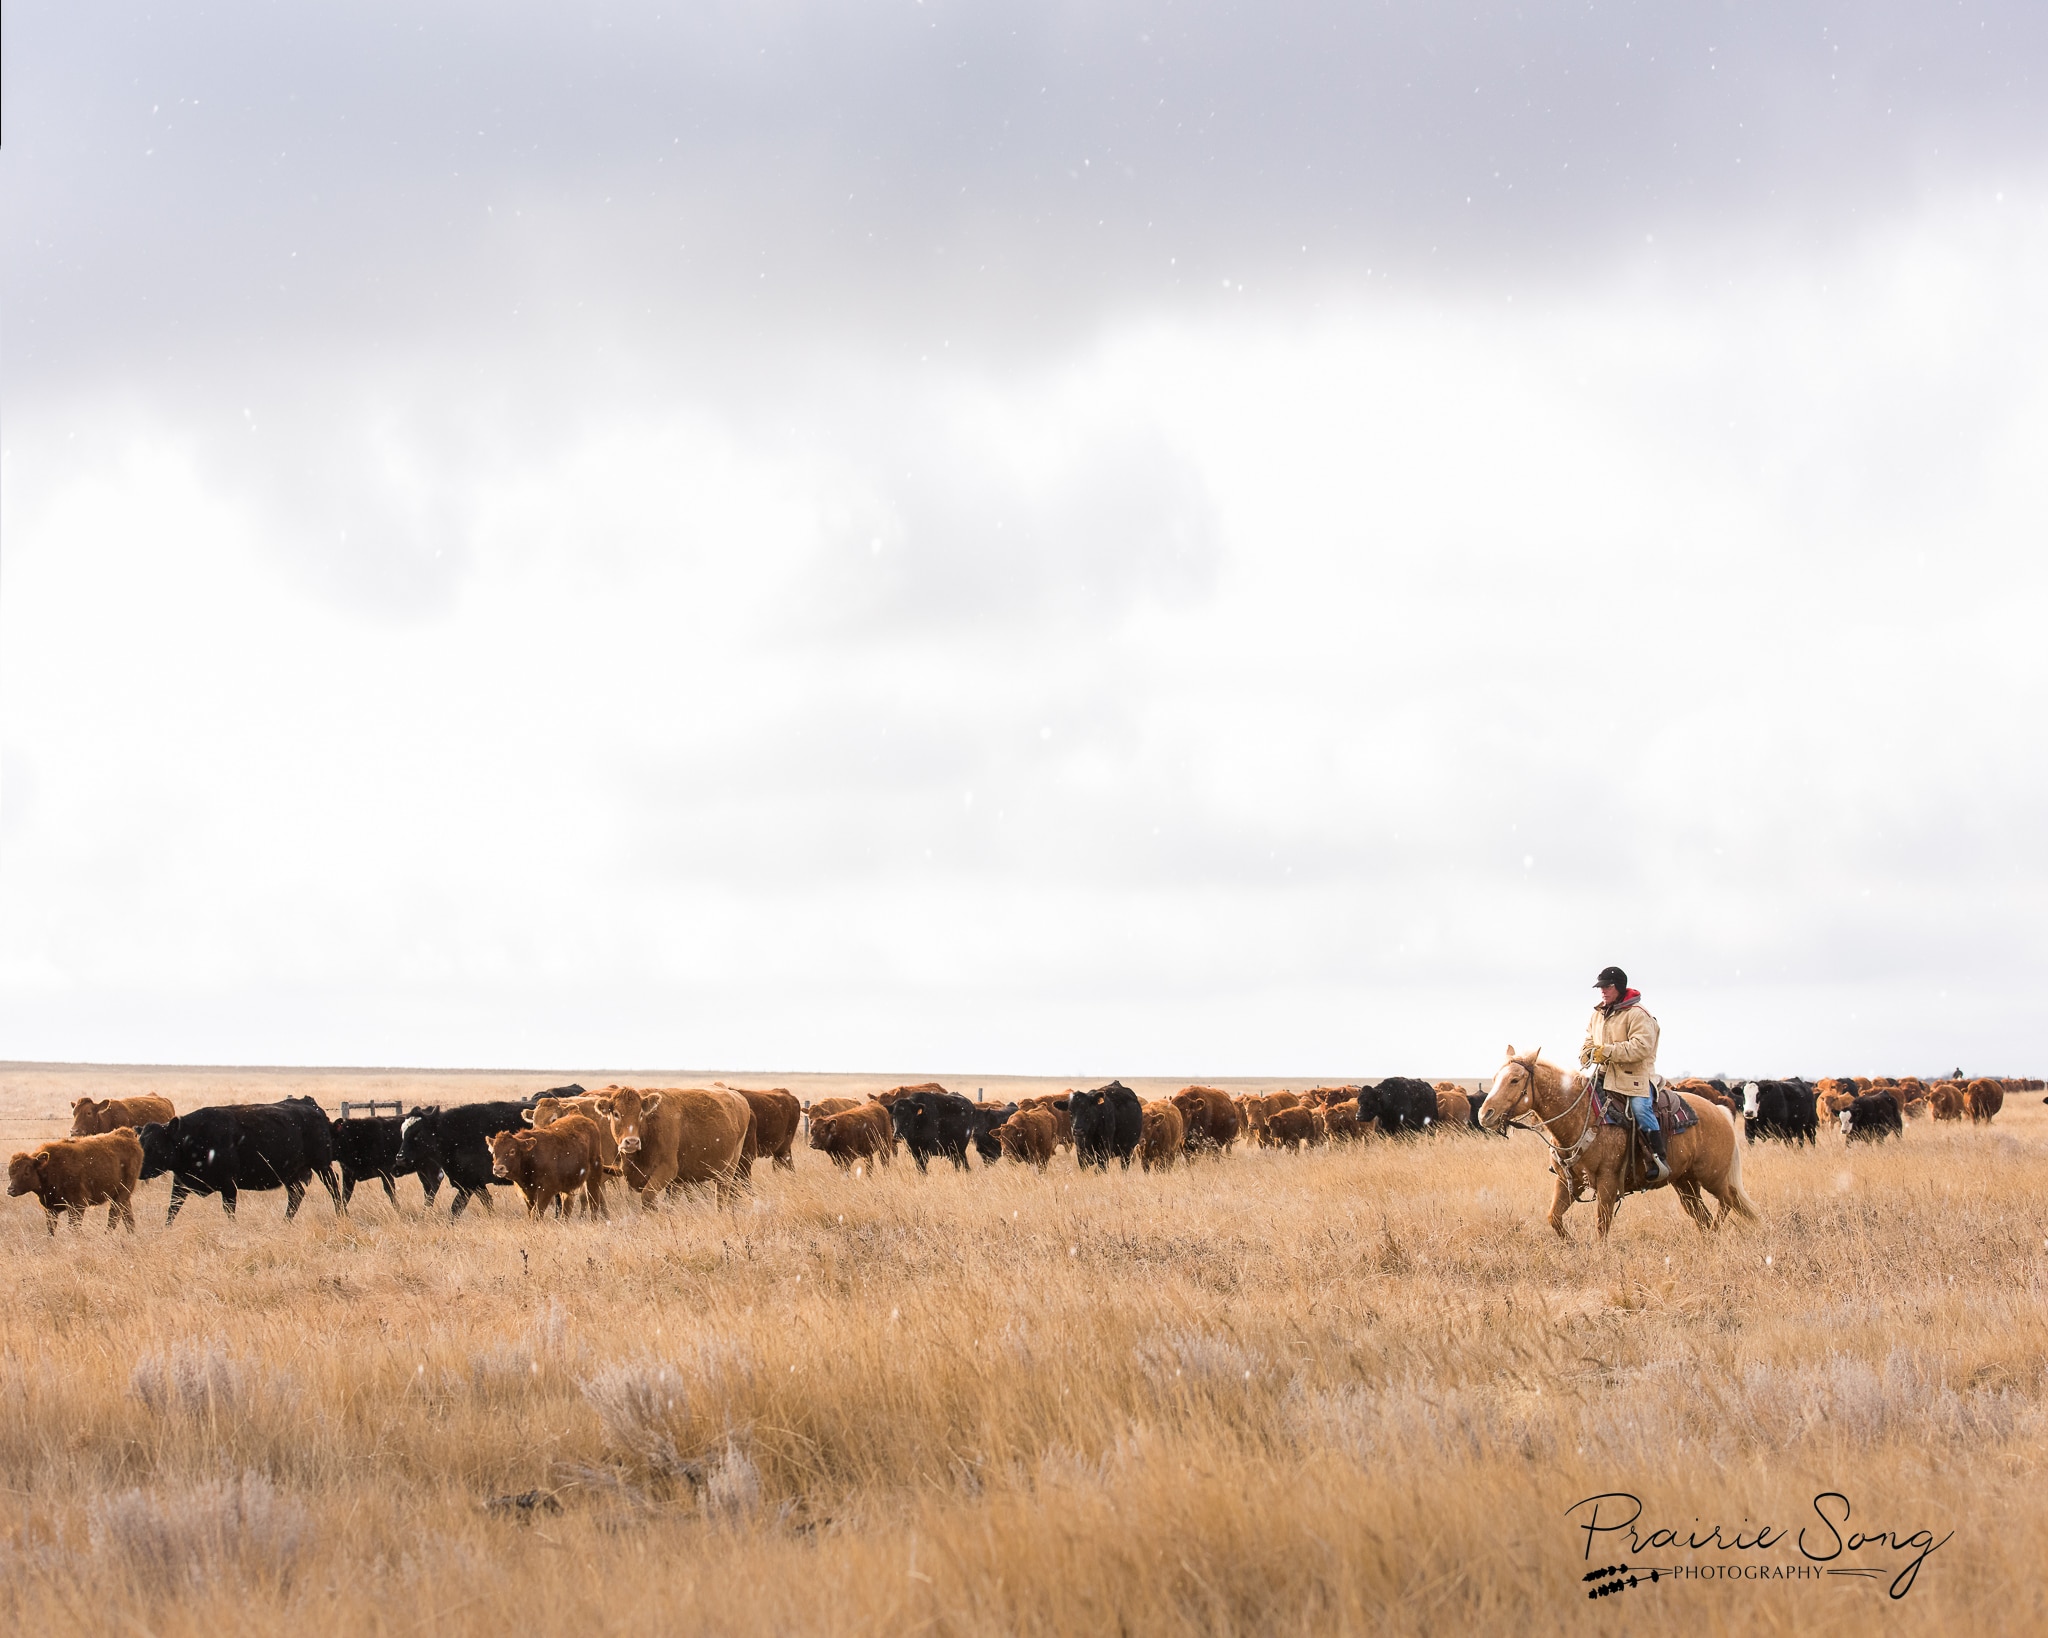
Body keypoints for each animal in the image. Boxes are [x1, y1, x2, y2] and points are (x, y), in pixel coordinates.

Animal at [7, 1130, 144, 1236]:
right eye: (10, 1172)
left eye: (26, 1172)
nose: (10, 1190)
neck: (49, 1168)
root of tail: (126, 1133)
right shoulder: (50, 1209)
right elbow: (51, 1230)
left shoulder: (77, 1205)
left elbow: (74, 1228)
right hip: (122, 1196)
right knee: (127, 1217)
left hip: (121, 1194)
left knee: (113, 1217)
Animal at [134, 1105, 339, 1220]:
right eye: (140, 1142)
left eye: (155, 1145)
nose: (139, 1170)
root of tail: (313, 1108)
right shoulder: (180, 1184)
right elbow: (172, 1210)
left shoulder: (229, 1185)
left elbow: (229, 1212)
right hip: (291, 1174)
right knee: (296, 1196)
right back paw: (285, 1222)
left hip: (321, 1165)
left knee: (334, 1187)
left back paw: (340, 1215)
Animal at [393, 1097, 536, 1212]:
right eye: (403, 1132)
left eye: (419, 1133)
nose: (400, 1158)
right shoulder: (476, 1185)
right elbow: (487, 1203)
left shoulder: (468, 1185)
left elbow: (455, 1209)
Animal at [598, 1089, 753, 1203]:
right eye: (616, 1114)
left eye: (641, 1114)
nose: (631, 1142)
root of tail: (737, 1096)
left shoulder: (667, 1169)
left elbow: (647, 1196)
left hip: (728, 1169)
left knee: (722, 1195)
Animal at [1474, 1048, 1761, 1244]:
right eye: (1495, 1078)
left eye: (1514, 1080)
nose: (1485, 1114)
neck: (1580, 1116)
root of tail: (1719, 1111)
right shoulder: (1569, 1181)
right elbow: (1554, 1217)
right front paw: (1573, 1246)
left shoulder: (1608, 1181)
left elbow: (1602, 1224)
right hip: (1685, 1183)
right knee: (1701, 1215)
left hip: (1712, 1177)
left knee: (1727, 1202)